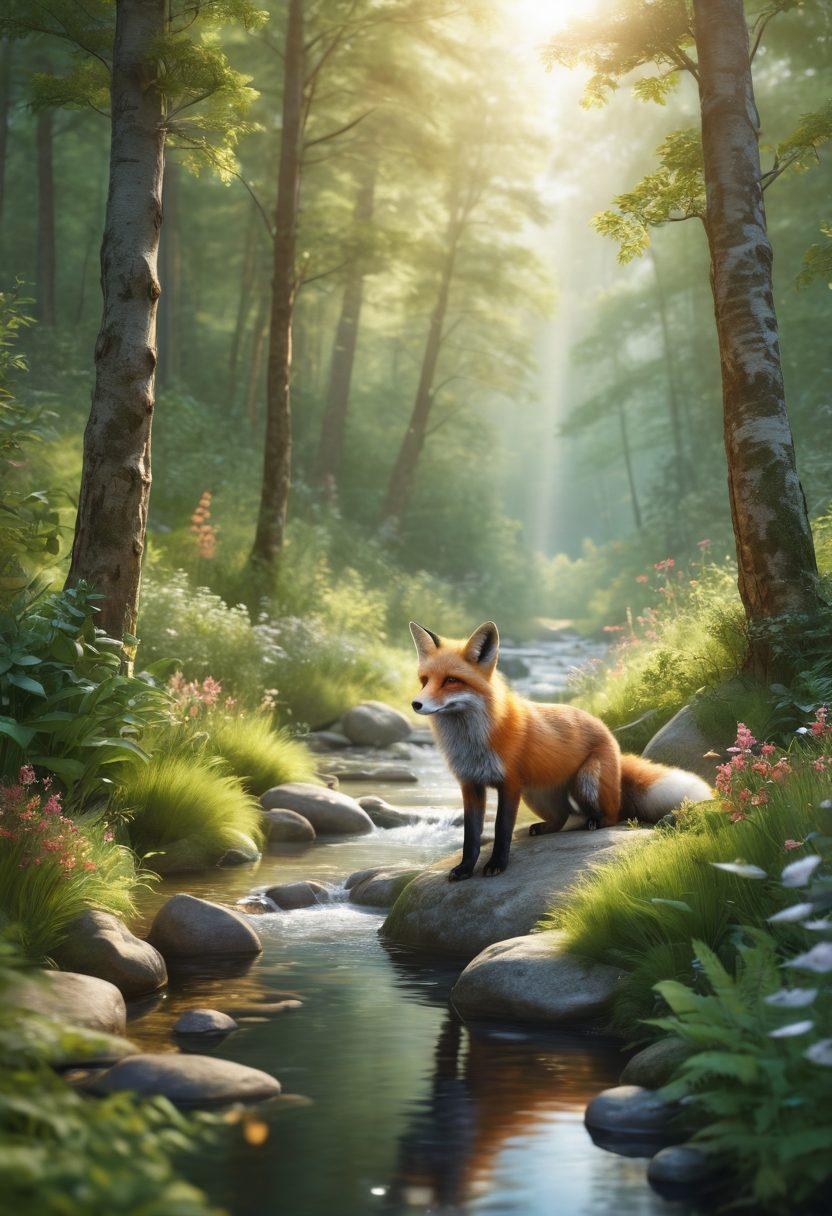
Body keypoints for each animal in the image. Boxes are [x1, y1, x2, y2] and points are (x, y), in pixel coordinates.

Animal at [409, 620, 712, 881]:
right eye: (424, 680)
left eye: (451, 680)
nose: (415, 704)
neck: (473, 743)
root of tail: (610, 736)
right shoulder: (470, 784)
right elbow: (471, 836)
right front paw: (464, 869)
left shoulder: (510, 783)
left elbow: (501, 829)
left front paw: (497, 864)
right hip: (536, 795)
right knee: (562, 816)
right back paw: (545, 828)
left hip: (586, 781)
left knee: (613, 813)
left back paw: (595, 822)